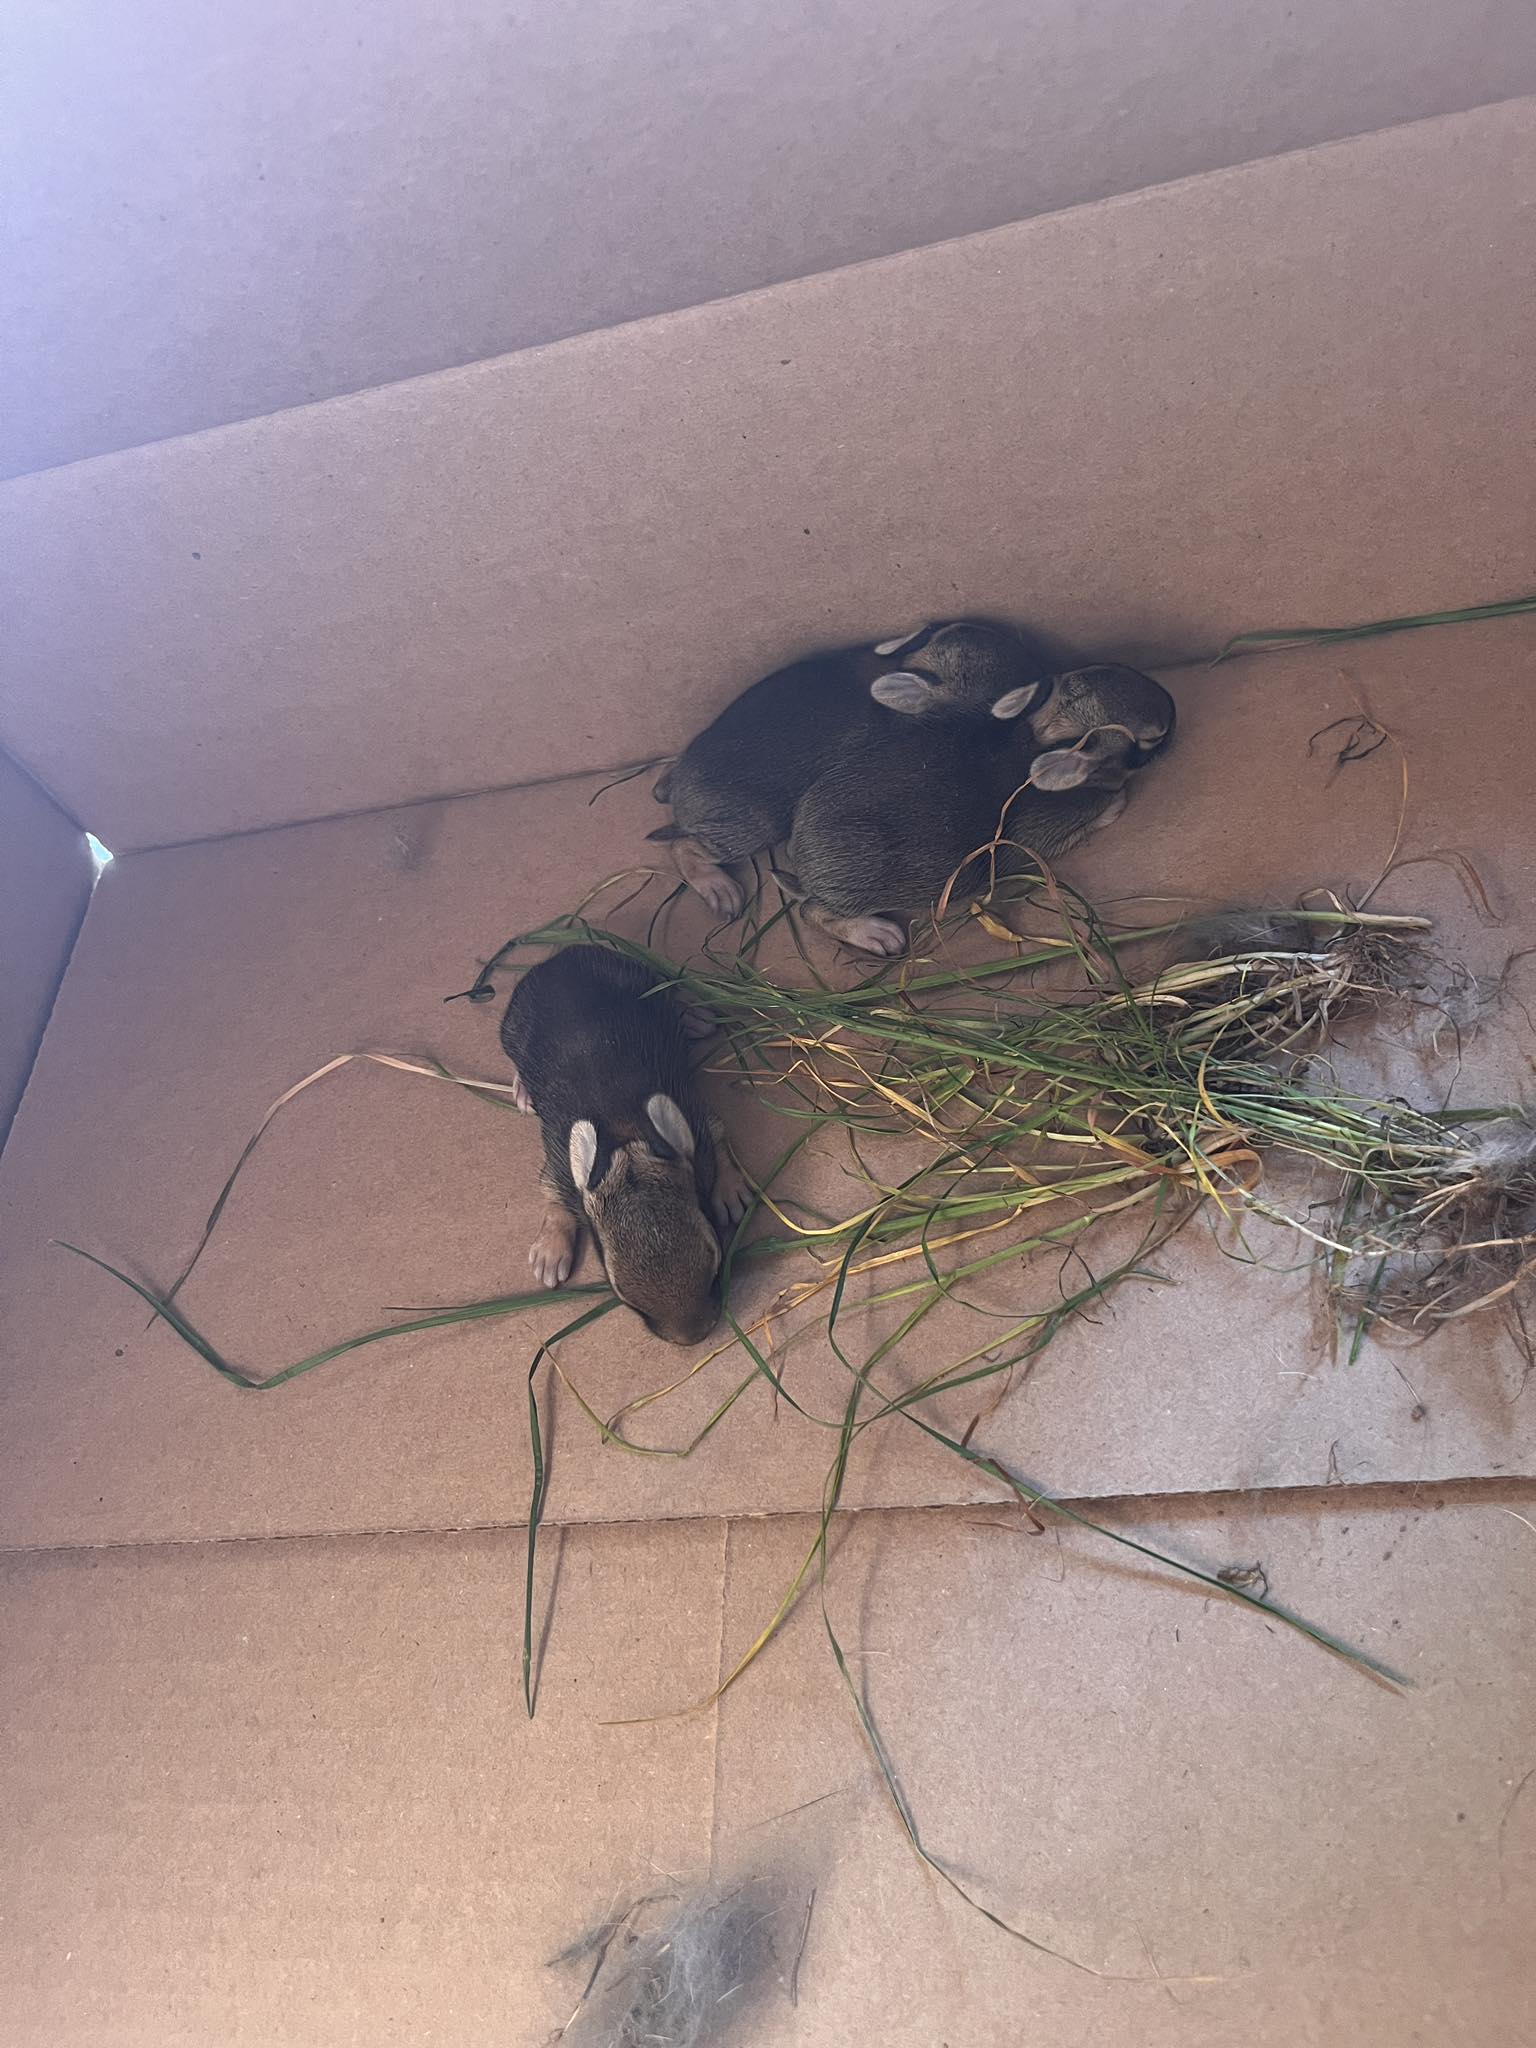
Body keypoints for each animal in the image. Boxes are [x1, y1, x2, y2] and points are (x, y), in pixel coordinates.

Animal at [500, 943, 749, 1345]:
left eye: (715, 1264)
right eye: (626, 1298)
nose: (692, 1336)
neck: (625, 1137)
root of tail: (563, 955)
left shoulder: (694, 1118)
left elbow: (719, 1135)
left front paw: (731, 1194)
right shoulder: (558, 1159)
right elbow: (552, 1193)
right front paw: (549, 1256)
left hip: (643, 981)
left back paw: (695, 1018)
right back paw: (522, 1090)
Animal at [783, 664, 1177, 955]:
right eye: (1151, 738)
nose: (1172, 705)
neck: (1037, 739)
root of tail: (802, 865)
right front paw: (1116, 802)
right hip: (854, 889)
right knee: (810, 910)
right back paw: (878, 935)